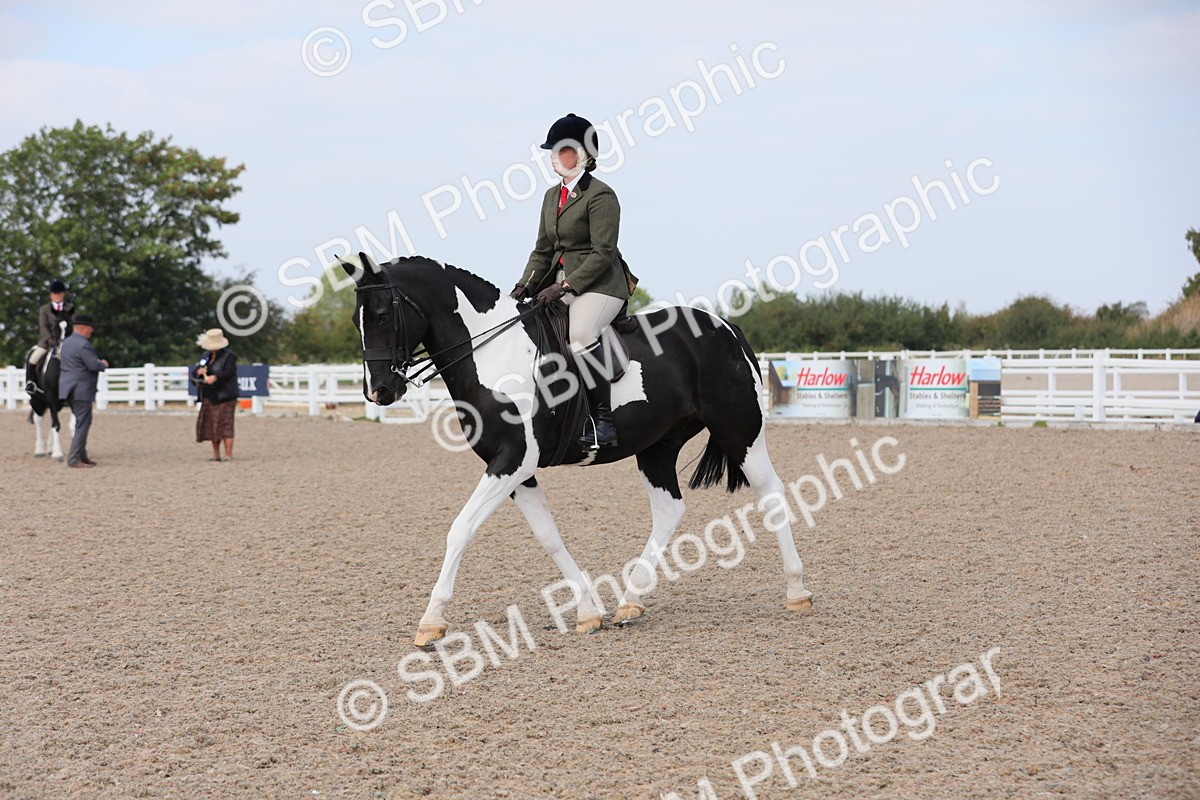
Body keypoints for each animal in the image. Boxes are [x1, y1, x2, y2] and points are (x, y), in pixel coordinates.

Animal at [338, 253, 812, 647]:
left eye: (382, 314)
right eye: (356, 321)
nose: (378, 392)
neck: (493, 352)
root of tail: (724, 327)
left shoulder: (512, 461)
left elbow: (461, 528)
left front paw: (431, 621)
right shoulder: (516, 470)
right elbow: (548, 536)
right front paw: (587, 611)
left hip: (740, 430)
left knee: (771, 494)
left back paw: (796, 591)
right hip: (657, 446)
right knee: (669, 509)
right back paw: (630, 601)